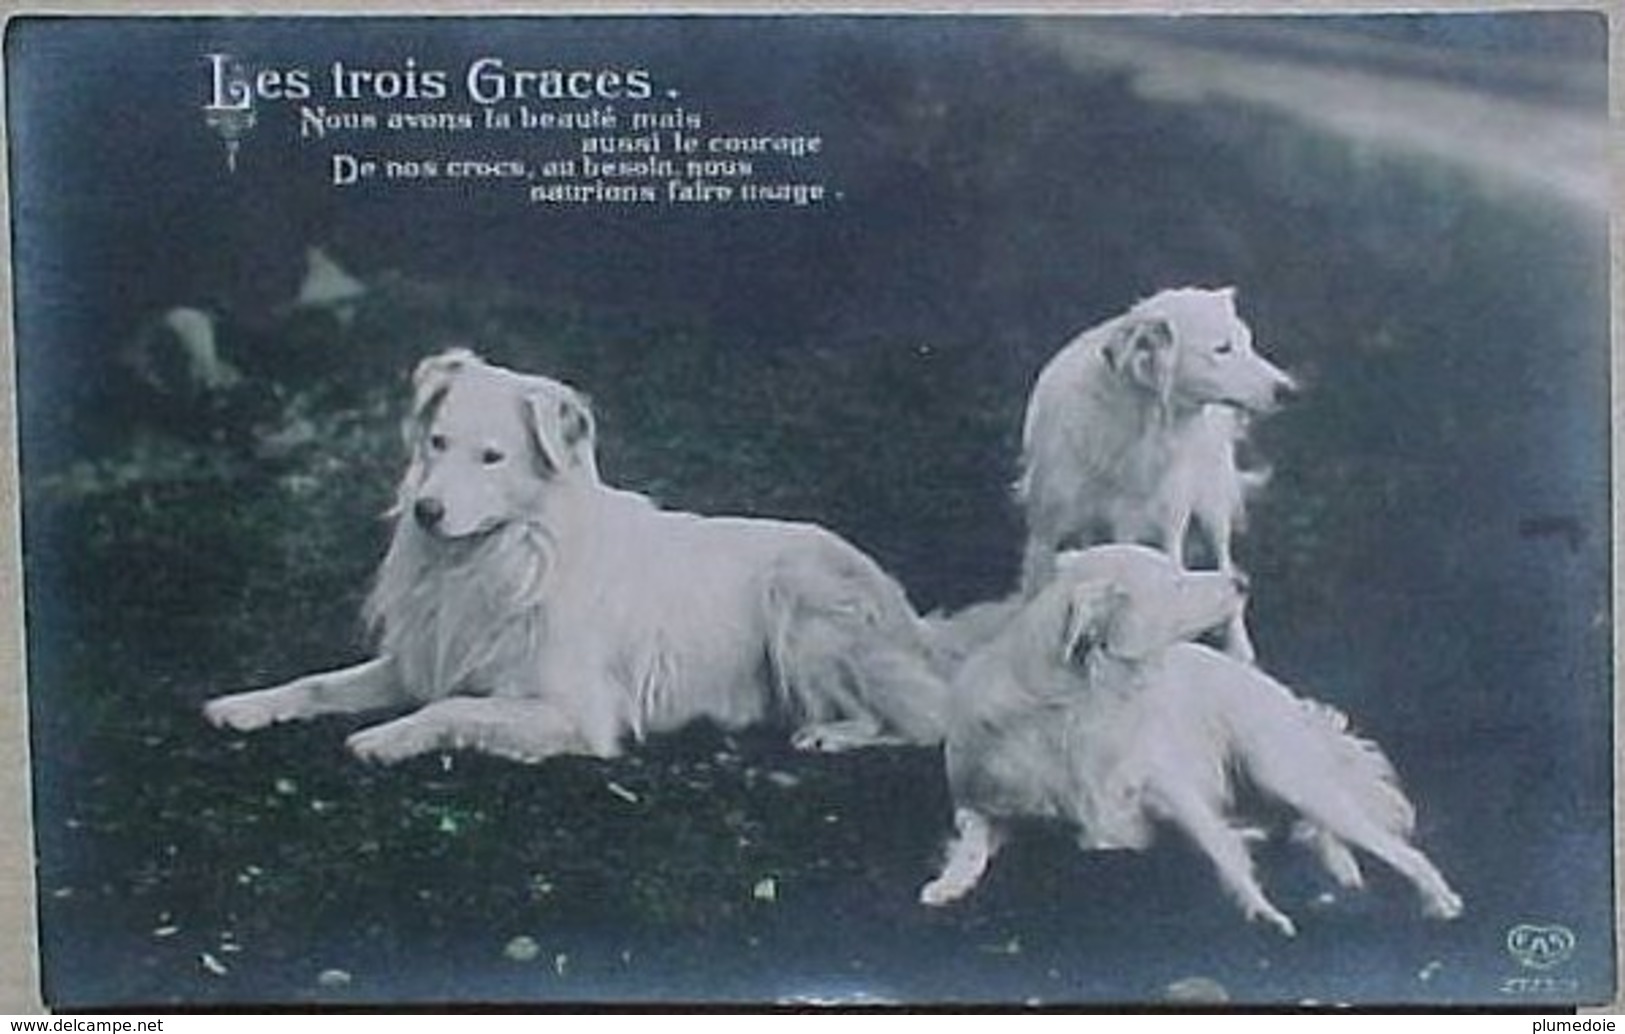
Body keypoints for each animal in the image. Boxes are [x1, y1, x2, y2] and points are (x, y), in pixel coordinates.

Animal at [203, 351, 949, 764]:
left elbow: (453, 710)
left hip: (802, 609)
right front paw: (246, 704)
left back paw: (832, 735)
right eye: (437, 442)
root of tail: (909, 616)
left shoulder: (576, 712)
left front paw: (385, 738)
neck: (502, 555)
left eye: (492, 456)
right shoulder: (422, 660)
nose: (427, 512)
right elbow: (319, 683)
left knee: (916, 719)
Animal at [923, 546, 1469, 929]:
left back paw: (1435, 896)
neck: (1077, 706)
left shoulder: (1168, 787)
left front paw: (1264, 912)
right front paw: (949, 884)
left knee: (1383, 841)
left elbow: (1220, 851)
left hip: (1287, 774)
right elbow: (972, 840)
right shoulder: (981, 798)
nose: (1243, 580)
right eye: (1176, 583)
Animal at [1014, 289, 1293, 663]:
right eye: (1222, 349)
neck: (1133, 427)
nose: (1288, 390)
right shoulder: (1045, 534)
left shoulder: (1165, 531)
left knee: (1225, 561)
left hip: (1212, 504)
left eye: (1248, 344)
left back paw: (1238, 646)